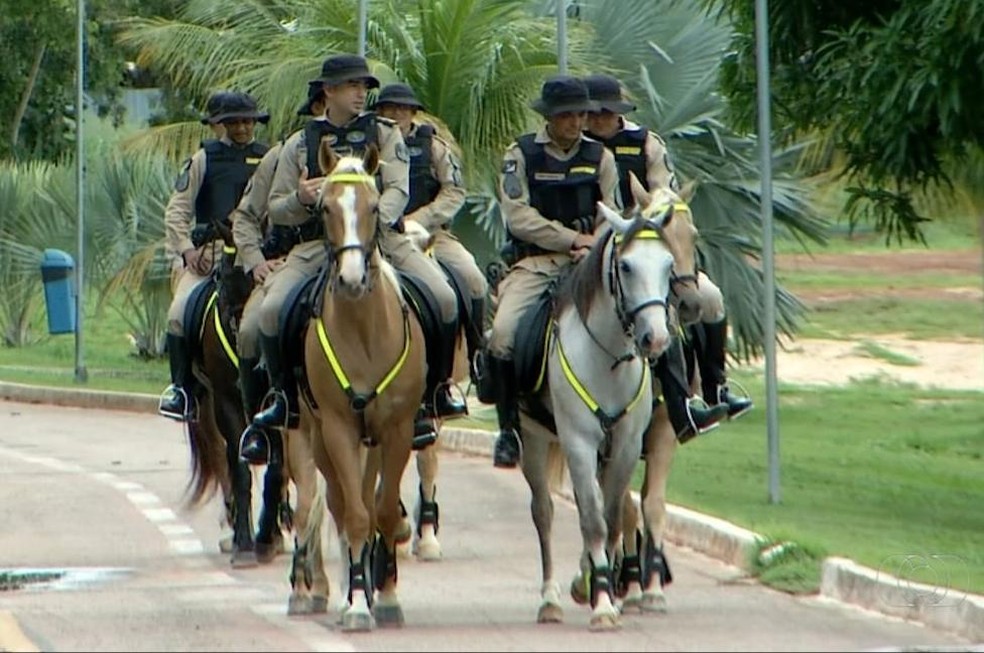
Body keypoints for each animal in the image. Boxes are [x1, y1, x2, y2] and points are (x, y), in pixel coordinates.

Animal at [298, 141, 424, 628]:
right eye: (324, 207)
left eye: (373, 207)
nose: (352, 279)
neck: (365, 329)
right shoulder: (338, 429)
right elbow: (353, 515)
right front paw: (355, 604)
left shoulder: (398, 429)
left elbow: (384, 512)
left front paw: (385, 597)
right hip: (320, 440)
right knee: (338, 504)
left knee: (373, 504)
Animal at [524, 201, 676, 628]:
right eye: (626, 266)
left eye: (669, 265)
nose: (656, 339)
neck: (607, 360)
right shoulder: (578, 442)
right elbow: (593, 519)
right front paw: (604, 604)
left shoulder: (625, 446)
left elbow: (610, 519)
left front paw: (599, 586)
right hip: (533, 441)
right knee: (544, 512)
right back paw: (550, 599)